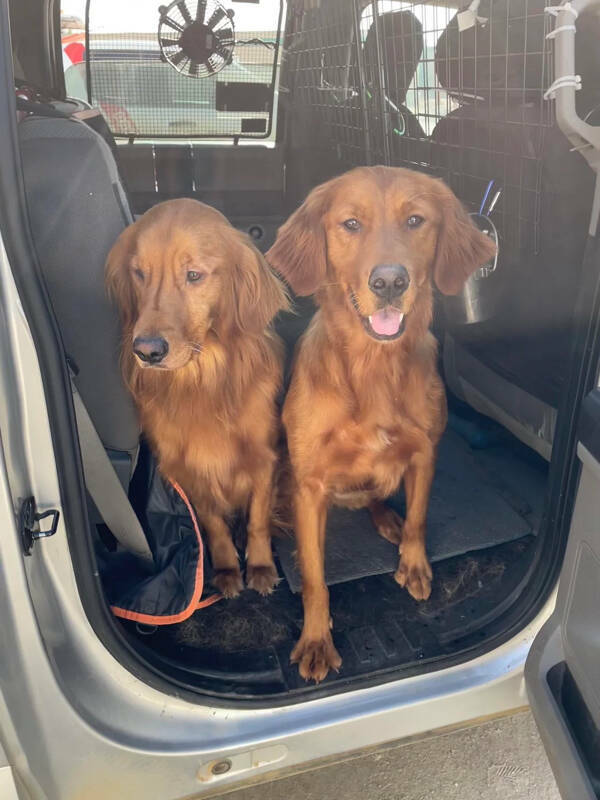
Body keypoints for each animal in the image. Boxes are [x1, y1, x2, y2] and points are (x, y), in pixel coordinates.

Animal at [268, 166, 496, 680]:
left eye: (415, 221)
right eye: (351, 224)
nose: (390, 280)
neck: (374, 367)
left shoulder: (425, 451)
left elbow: (419, 516)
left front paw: (413, 563)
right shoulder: (310, 484)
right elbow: (315, 577)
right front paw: (317, 639)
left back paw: (386, 519)